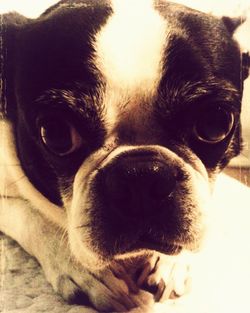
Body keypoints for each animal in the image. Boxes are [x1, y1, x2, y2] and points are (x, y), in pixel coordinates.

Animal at [0, 0, 249, 310]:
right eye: (56, 133)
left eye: (215, 123)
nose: (142, 174)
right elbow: (34, 217)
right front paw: (85, 270)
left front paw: (172, 262)